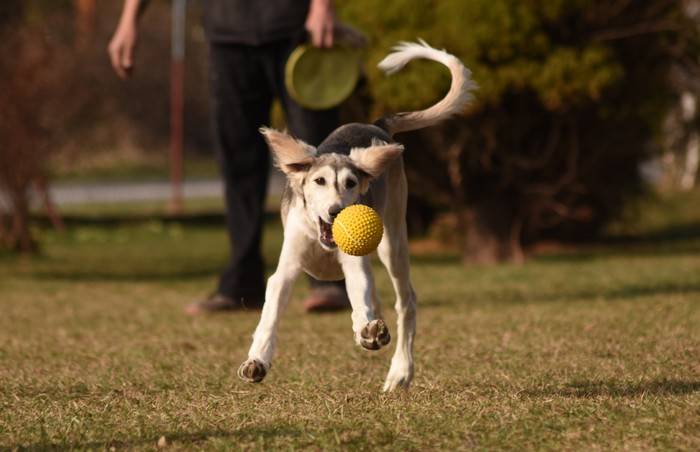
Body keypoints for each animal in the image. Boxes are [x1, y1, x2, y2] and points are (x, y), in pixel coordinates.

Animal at [237, 40, 476, 390]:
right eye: (319, 181)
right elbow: (270, 314)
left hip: (392, 243)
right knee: (381, 299)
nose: (336, 211)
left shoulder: (354, 265)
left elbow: (359, 295)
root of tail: (375, 125)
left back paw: (399, 370)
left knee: (406, 301)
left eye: (350, 183)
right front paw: (256, 361)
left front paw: (366, 331)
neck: (322, 244)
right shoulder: (287, 268)